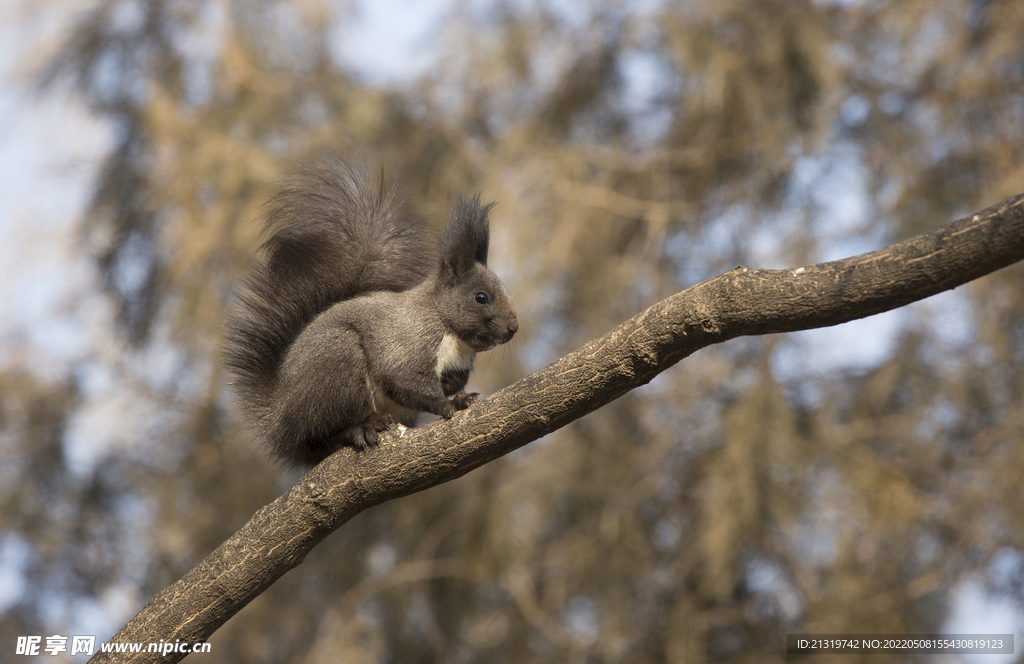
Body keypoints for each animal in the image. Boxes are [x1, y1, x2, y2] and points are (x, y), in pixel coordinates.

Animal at [220, 159, 516, 467]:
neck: (449, 329)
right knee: (323, 435)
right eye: (481, 297)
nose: (513, 328)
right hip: (335, 364)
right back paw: (360, 428)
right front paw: (445, 403)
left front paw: (458, 396)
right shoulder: (408, 341)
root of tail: (279, 420)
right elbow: (405, 381)